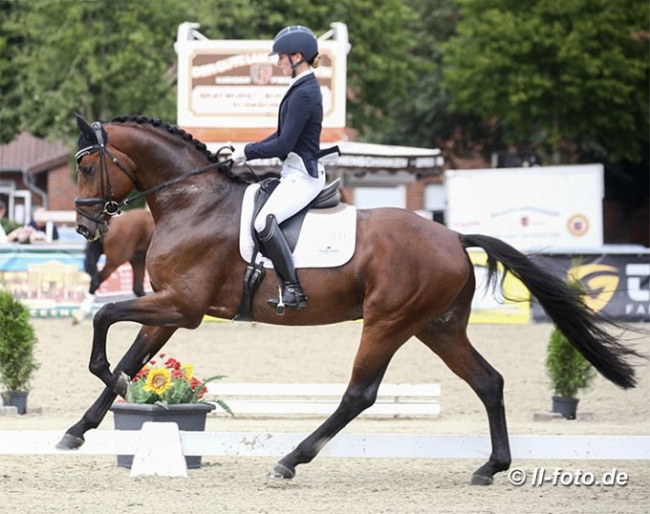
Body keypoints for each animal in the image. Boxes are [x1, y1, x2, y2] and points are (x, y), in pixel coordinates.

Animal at [57, 113, 644, 484]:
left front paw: (111, 385)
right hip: (437, 327)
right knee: (488, 381)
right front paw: (77, 431)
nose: (86, 227)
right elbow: (130, 355)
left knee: (359, 394)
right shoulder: (170, 308)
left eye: (85, 166)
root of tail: (453, 237)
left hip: (388, 323)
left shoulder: (183, 306)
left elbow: (106, 321)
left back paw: (290, 460)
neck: (191, 200)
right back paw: (490, 467)